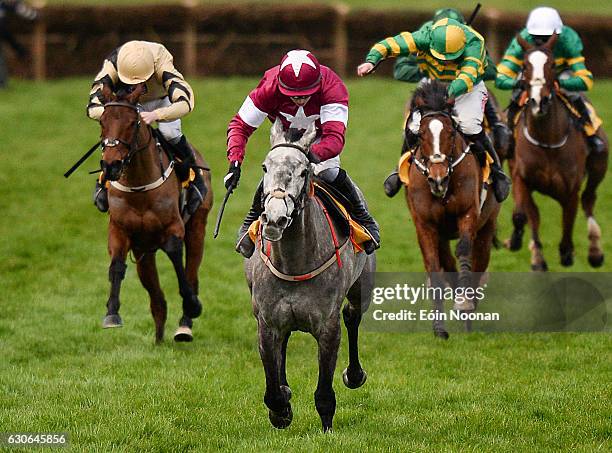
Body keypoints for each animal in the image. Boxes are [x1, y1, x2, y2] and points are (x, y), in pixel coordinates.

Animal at [99, 85, 214, 340]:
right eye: (102, 121)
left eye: (133, 123)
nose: (111, 165)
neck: (139, 186)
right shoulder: (120, 229)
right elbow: (116, 265)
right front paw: (111, 313)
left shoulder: (174, 227)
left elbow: (176, 258)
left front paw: (192, 305)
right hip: (143, 251)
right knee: (156, 297)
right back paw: (159, 336)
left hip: (197, 227)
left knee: (192, 273)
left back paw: (184, 325)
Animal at [246, 119, 376, 430]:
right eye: (265, 167)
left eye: (304, 171)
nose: (275, 218)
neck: (294, 263)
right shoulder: (267, 322)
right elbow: (272, 386)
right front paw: (281, 409)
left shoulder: (327, 326)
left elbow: (324, 392)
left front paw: (326, 428)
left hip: (362, 287)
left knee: (353, 315)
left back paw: (355, 374)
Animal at [404, 79, 500, 338]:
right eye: (420, 134)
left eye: (450, 132)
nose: (438, 178)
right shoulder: (425, 225)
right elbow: (434, 268)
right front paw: (439, 328)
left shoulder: (468, 214)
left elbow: (465, 251)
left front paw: (464, 304)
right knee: (447, 263)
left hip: (487, 226)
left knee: (479, 260)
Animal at [504, 35, 608, 270]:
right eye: (524, 66)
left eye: (551, 64)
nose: (538, 101)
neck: (547, 141)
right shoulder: (521, 177)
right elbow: (523, 215)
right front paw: (522, 245)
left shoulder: (571, 190)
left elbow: (568, 223)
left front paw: (567, 253)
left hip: (599, 167)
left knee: (589, 200)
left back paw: (595, 251)